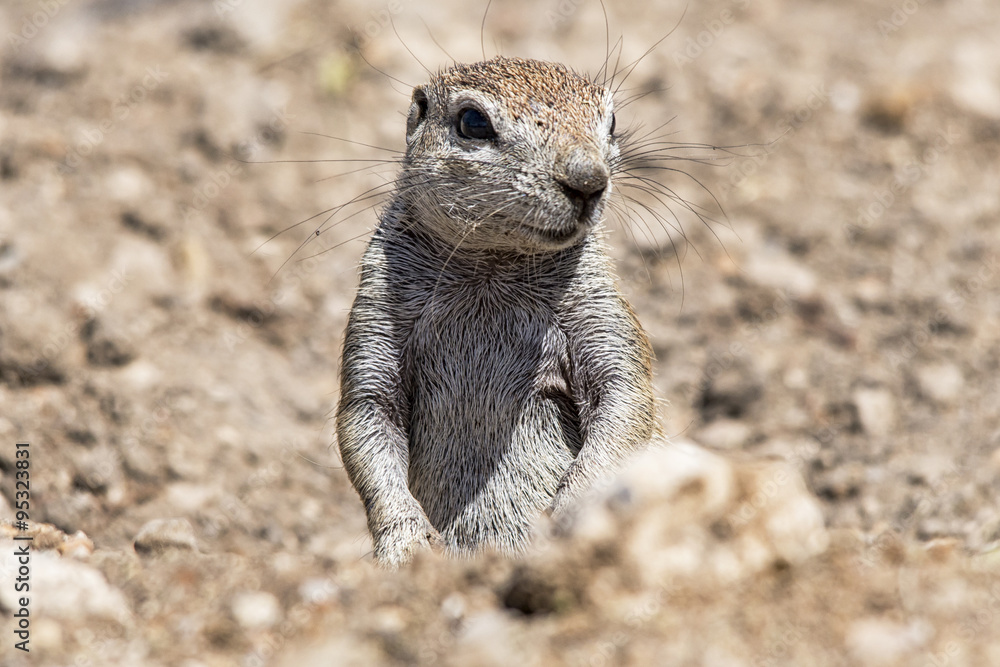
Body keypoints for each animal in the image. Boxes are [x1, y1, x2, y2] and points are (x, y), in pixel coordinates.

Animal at [337, 56, 660, 568]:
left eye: (611, 122)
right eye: (473, 122)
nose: (589, 180)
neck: (492, 263)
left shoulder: (599, 309)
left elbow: (625, 399)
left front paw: (572, 511)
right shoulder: (377, 310)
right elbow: (366, 417)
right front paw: (404, 546)